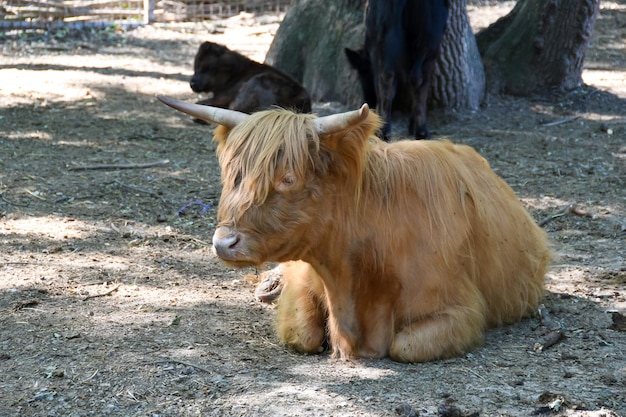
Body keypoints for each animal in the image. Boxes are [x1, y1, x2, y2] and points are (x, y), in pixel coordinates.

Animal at [157, 96, 552, 362]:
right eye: (232, 174)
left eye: (288, 178)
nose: (224, 243)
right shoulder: (306, 279)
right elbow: (302, 333)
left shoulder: (461, 310)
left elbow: (404, 346)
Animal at [344, 0, 446, 140]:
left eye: (361, 74)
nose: (368, 100)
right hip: (424, 40)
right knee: (411, 80)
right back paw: (415, 130)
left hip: (394, 39)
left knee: (393, 80)